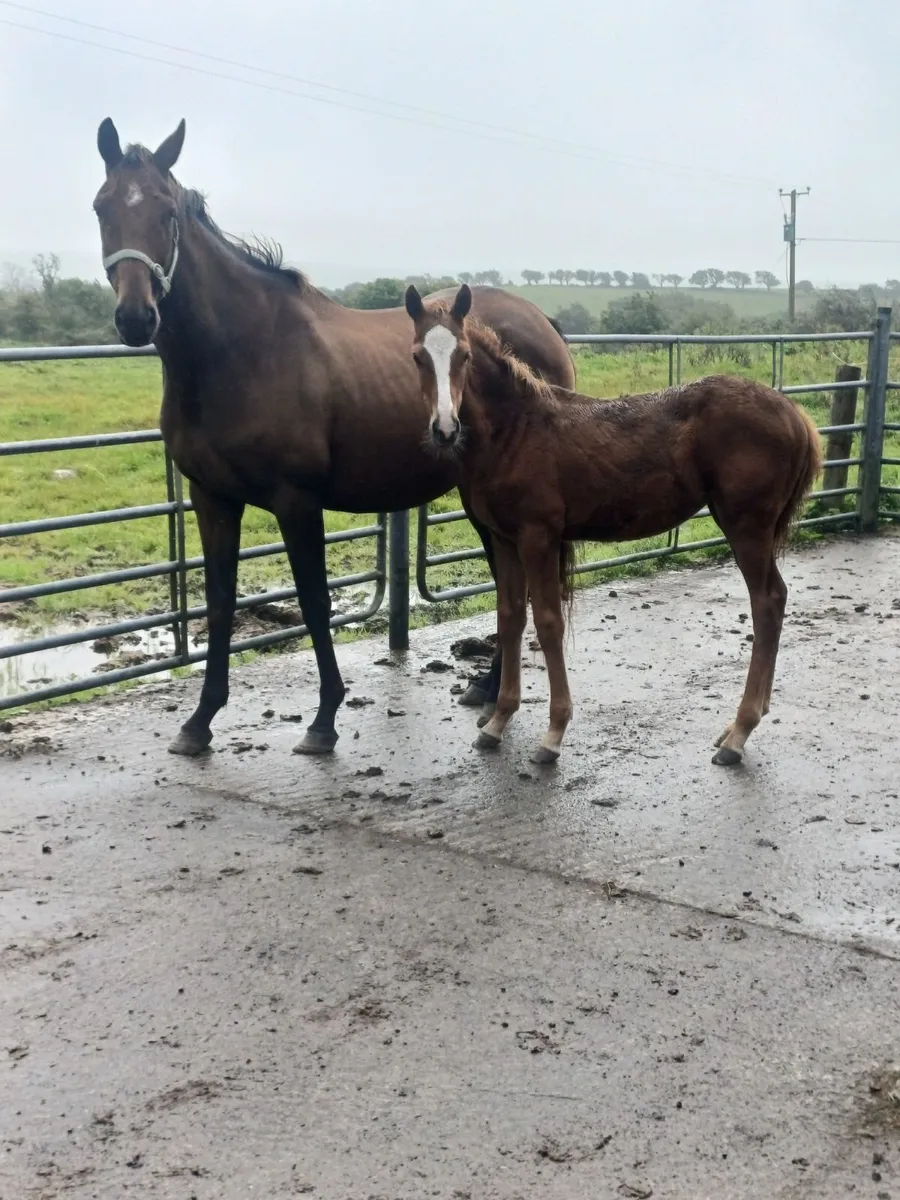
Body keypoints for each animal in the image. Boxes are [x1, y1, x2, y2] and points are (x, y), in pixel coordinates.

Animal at [92, 118, 575, 757]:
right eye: (101, 208)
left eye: (167, 211)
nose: (136, 317)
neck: (242, 350)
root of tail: (544, 323)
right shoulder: (210, 498)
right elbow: (219, 603)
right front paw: (200, 720)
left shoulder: (297, 502)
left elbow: (315, 603)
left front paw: (323, 720)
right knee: (507, 585)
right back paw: (487, 690)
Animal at [404, 282, 822, 767]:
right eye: (417, 355)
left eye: (465, 356)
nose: (445, 429)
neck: (515, 431)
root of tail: (795, 414)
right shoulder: (504, 540)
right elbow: (509, 619)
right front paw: (498, 721)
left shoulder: (538, 537)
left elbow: (548, 623)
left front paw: (553, 733)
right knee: (772, 600)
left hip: (746, 526)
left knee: (768, 601)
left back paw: (739, 733)